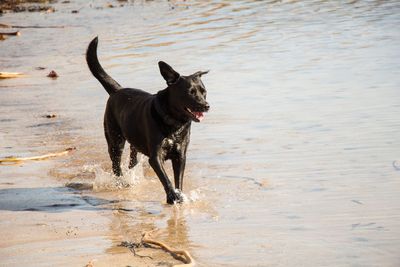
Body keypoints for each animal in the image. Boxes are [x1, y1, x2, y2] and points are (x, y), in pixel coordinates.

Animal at [86, 37, 211, 204]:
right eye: (190, 92)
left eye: (204, 92)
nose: (206, 106)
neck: (173, 123)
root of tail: (117, 90)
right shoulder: (155, 157)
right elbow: (165, 179)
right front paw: (172, 197)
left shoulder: (180, 155)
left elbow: (178, 179)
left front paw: (180, 196)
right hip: (114, 140)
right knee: (116, 163)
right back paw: (121, 182)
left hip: (134, 142)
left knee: (132, 160)